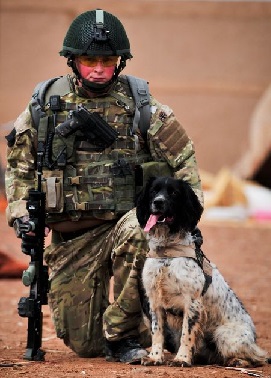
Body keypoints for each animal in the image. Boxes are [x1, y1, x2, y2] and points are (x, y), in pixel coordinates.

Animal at [137, 179, 268, 368]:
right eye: (154, 191)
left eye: (174, 193)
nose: (158, 202)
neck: (167, 253)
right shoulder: (155, 302)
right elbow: (157, 332)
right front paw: (155, 357)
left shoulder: (192, 303)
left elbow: (187, 334)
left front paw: (182, 359)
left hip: (224, 334)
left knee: (259, 357)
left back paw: (238, 361)